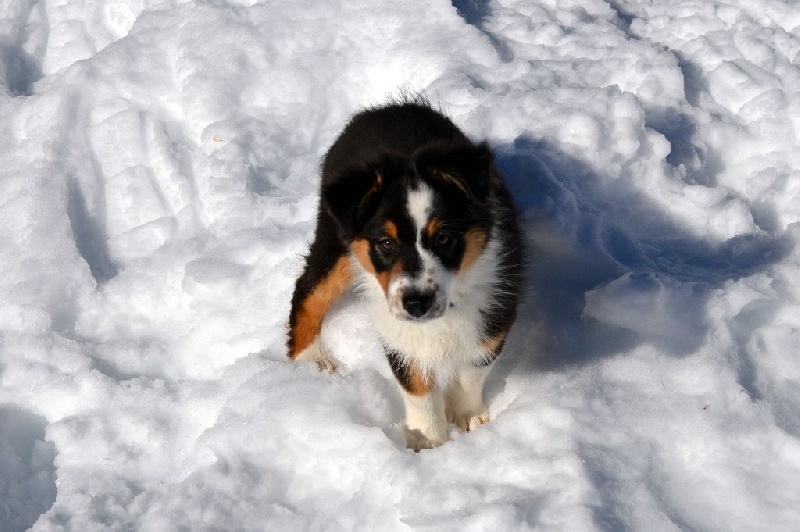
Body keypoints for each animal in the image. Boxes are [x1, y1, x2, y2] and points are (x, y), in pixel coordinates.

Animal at [288, 100, 524, 448]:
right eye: (386, 243)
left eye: (444, 239)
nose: (416, 303)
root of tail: (381, 109)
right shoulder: (396, 325)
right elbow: (415, 382)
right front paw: (428, 440)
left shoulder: (496, 306)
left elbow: (474, 367)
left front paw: (467, 417)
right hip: (335, 238)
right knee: (309, 288)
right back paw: (310, 362)